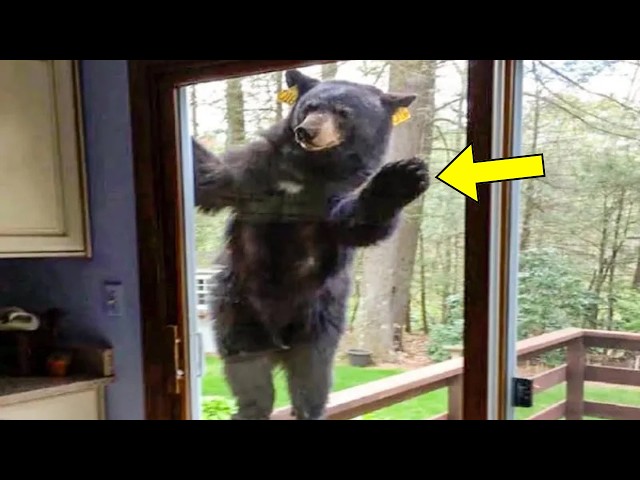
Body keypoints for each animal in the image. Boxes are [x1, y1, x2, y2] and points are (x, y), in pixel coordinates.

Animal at [193, 69, 429, 420]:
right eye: (309, 107)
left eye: (343, 112)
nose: (307, 131)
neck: (311, 170)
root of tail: (277, 343)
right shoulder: (257, 171)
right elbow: (213, 178)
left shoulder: (336, 194)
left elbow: (356, 223)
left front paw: (401, 178)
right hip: (236, 311)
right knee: (250, 377)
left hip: (319, 322)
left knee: (311, 382)